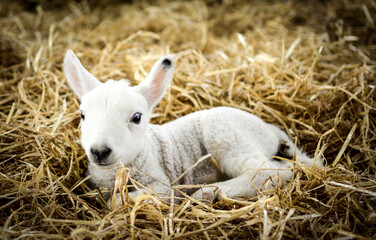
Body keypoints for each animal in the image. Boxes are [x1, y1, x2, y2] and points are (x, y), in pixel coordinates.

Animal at [63, 49, 322, 203]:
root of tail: (268, 130)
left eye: (136, 117)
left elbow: (117, 201)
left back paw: (207, 192)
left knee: (270, 173)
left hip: (228, 139)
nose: (99, 151)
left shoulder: (160, 185)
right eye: (83, 115)